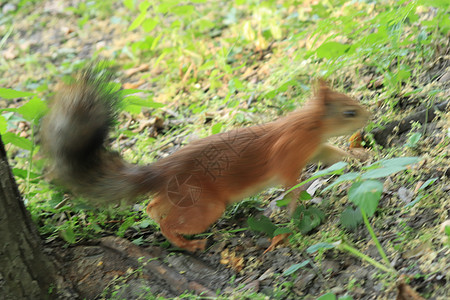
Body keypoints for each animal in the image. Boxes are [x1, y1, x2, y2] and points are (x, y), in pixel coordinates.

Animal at [39, 65, 370, 251]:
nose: (368, 117)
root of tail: (161, 172)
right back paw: (189, 243)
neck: (309, 125)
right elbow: (291, 186)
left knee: (153, 207)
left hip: (177, 196)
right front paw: (294, 209)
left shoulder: (315, 148)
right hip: (204, 204)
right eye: (348, 112)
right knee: (170, 223)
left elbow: (334, 154)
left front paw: (358, 157)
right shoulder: (289, 154)